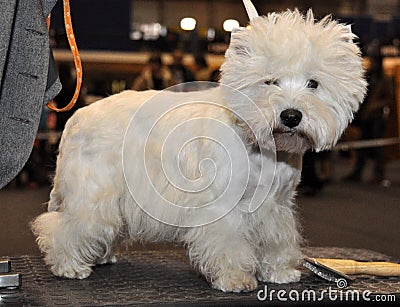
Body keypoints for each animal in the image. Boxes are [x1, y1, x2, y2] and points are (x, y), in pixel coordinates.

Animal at [32, 0, 368, 294]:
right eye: (270, 81)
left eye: (314, 83)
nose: (291, 116)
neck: (261, 147)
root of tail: (77, 117)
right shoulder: (222, 206)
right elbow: (228, 242)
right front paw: (235, 279)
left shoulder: (277, 205)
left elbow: (277, 238)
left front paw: (279, 271)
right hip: (93, 191)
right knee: (66, 225)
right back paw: (69, 266)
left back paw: (101, 256)